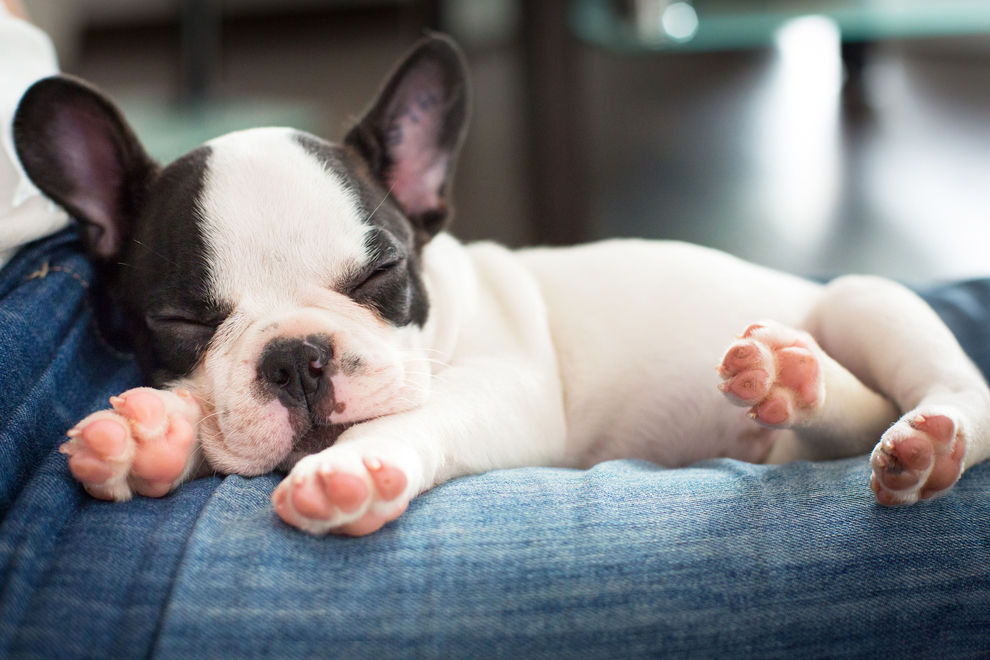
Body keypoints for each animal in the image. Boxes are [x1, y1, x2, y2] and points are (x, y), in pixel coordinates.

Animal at [11, 34, 988, 536]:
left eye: (382, 273)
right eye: (180, 321)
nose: (296, 359)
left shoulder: (507, 390)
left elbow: (413, 416)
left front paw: (353, 465)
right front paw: (152, 438)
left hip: (865, 300)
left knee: (938, 396)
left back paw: (909, 436)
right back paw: (788, 377)